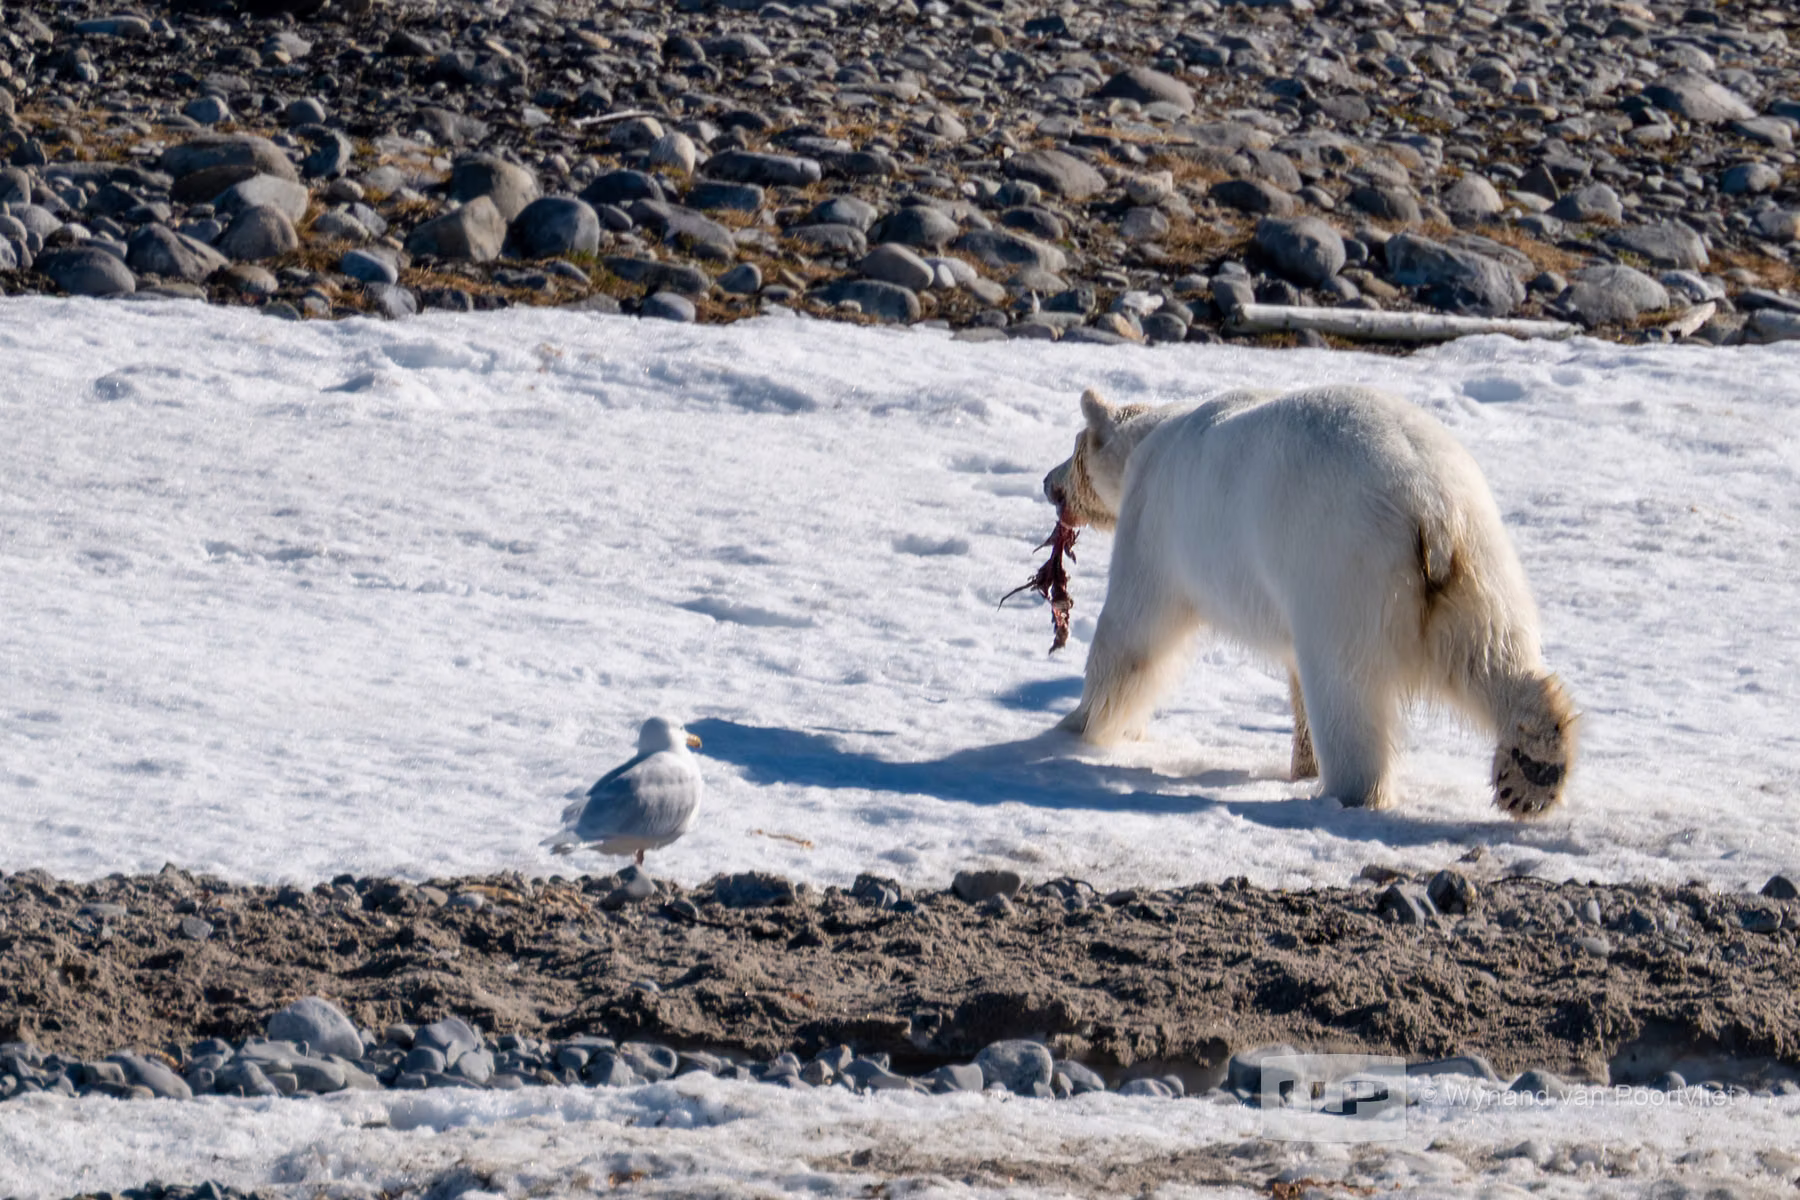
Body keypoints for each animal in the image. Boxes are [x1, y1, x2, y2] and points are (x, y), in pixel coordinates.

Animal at [1041, 384, 1575, 817]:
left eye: (1074, 448)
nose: (1048, 484)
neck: (1151, 439)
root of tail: (1429, 505)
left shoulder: (1156, 526)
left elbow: (1131, 633)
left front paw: (1074, 725)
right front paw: (1302, 762)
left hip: (1344, 569)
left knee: (1348, 689)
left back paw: (1354, 791)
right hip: (1476, 561)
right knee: (1489, 654)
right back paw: (1533, 769)